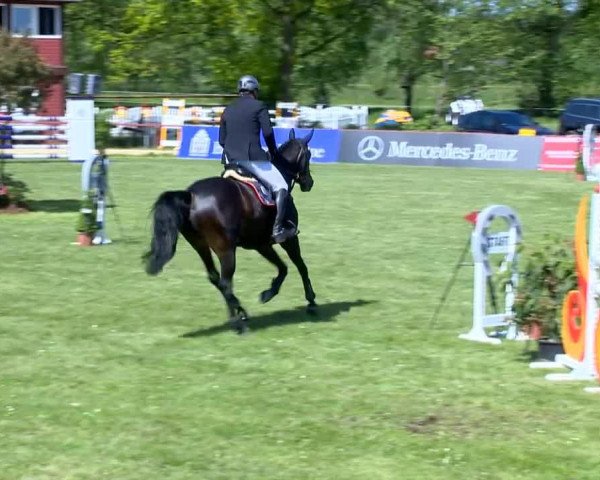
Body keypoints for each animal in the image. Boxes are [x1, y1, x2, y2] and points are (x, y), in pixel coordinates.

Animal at [144, 129, 318, 336]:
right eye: (308, 155)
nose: (309, 183)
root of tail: (191, 195)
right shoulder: (288, 240)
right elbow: (300, 266)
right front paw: (311, 301)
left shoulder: (261, 244)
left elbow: (283, 268)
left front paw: (268, 293)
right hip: (226, 250)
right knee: (225, 283)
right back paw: (239, 321)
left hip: (200, 245)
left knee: (215, 279)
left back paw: (239, 313)